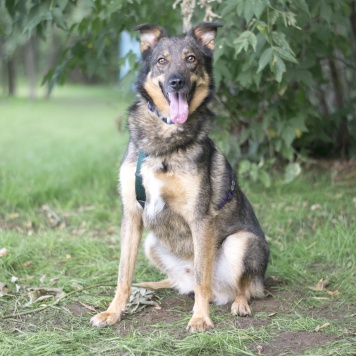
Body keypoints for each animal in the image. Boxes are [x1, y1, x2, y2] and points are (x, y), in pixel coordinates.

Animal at [90, 22, 268, 332]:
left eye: (191, 59)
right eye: (162, 60)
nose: (176, 82)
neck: (164, 140)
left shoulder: (200, 218)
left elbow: (201, 278)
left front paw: (200, 318)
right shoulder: (132, 214)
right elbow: (123, 274)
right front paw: (113, 311)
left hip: (242, 242)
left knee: (240, 286)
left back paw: (239, 303)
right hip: (151, 243)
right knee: (176, 282)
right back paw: (150, 285)